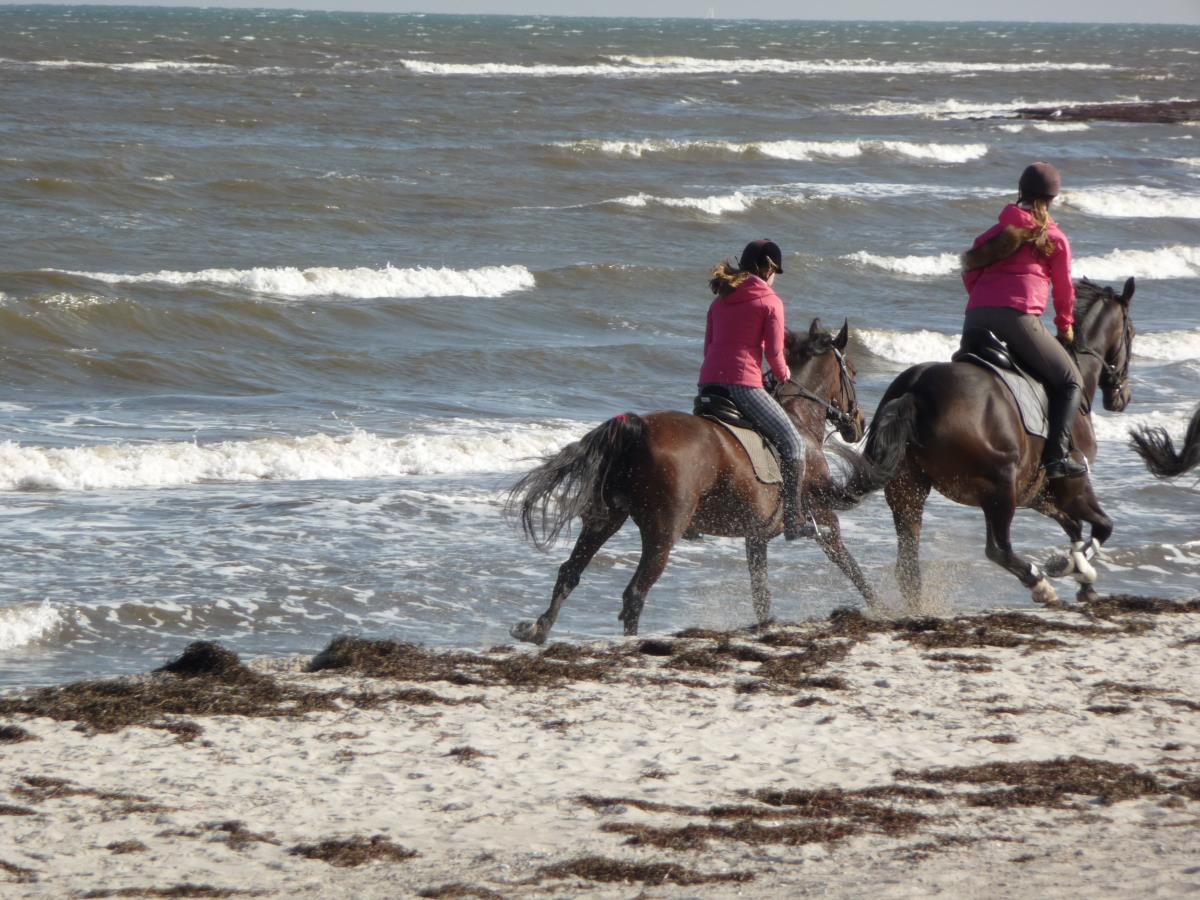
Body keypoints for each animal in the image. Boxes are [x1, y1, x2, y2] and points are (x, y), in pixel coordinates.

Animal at [506, 321, 883, 643]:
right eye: (852, 371)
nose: (858, 423)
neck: (798, 420)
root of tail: (637, 428)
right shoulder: (824, 520)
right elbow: (851, 567)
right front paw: (883, 606)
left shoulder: (755, 535)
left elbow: (760, 591)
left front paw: (765, 626)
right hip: (662, 533)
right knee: (634, 593)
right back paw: (629, 644)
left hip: (606, 519)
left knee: (570, 571)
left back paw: (537, 630)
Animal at [864, 278, 1132, 609]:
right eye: (1131, 333)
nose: (1123, 398)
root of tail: (914, 391)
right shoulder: (1075, 489)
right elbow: (1102, 527)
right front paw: (1075, 568)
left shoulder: (1040, 496)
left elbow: (1074, 527)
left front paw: (1081, 578)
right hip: (999, 487)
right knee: (998, 549)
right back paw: (1040, 585)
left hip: (908, 488)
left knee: (908, 565)